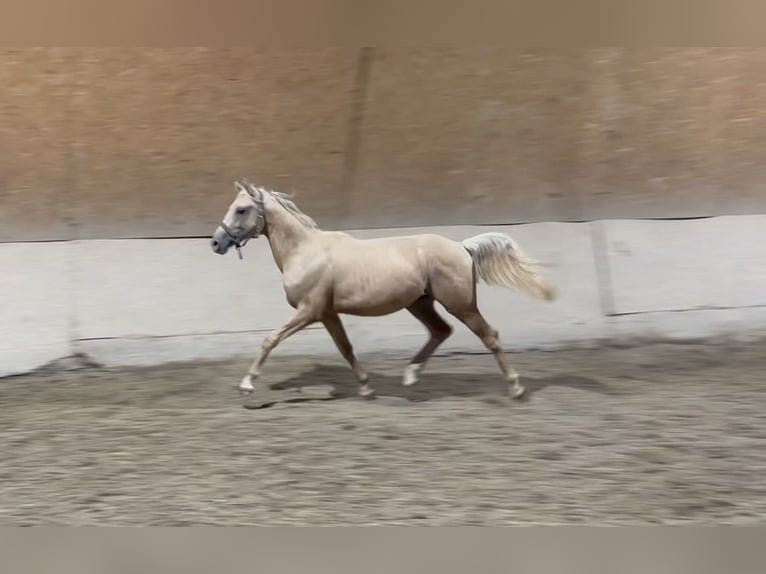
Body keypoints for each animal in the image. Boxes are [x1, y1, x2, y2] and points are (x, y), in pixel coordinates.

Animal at [210, 182, 560, 402]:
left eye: (241, 209)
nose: (216, 243)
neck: (306, 251)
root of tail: (462, 247)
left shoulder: (308, 311)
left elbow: (270, 340)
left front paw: (246, 386)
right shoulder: (327, 313)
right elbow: (347, 349)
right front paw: (366, 389)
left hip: (460, 304)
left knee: (490, 336)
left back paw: (516, 389)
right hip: (420, 303)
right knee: (440, 331)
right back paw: (410, 375)